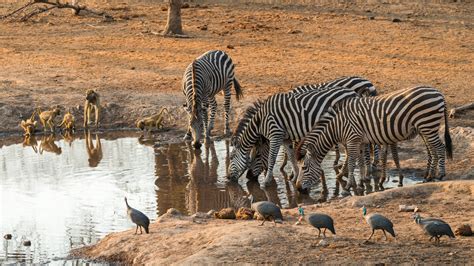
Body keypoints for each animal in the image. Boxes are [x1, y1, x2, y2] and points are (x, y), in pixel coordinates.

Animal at [228, 86, 358, 186]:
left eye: (231, 157)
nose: (228, 178)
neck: (260, 121)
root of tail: (353, 92)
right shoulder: (285, 138)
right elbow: (291, 156)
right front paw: (295, 177)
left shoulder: (276, 135)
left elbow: (271, 158)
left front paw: (266, 181)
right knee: (349, 151)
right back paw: (343, 173)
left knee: (351, 151)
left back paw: (344, 173)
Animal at [294, 86, 454, 194]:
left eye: (304, 168)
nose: (297, 188)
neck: (337, 125)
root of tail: (438, 92)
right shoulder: (359, 140)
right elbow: (360, 161)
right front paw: (360, 182)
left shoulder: (352, 139)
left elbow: (352, 163)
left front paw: (348, 186)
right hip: (426, 127)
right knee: (433, 150)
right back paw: (429, 176)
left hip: (427, 124)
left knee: (440, 148)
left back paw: (440, 175)